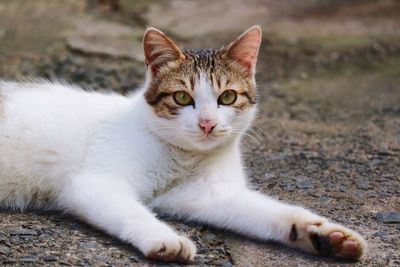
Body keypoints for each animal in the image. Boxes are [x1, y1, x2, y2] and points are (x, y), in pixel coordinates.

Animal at [0, 25, 366, 264]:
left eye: (227, 97)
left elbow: (269, 211)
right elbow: (133, 212)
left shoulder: (209, 195)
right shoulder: (96, 183)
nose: (207, 123)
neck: (184, 158)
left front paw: (323, 235)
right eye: (181, 97)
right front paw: (167, 239)